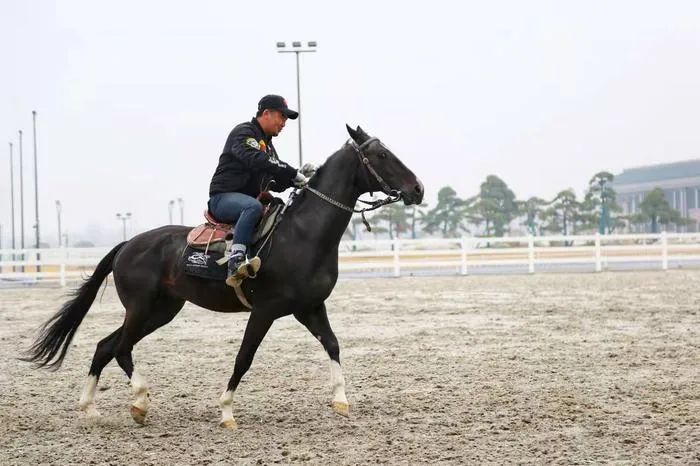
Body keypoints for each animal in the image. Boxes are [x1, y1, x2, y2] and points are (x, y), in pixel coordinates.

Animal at [24, 124, 424, 430]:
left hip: (161, 310)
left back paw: (91, 409)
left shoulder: (309, 307)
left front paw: (341, 400)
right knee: (121, 347)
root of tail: (128, 244)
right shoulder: (265, 311)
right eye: (382, 155)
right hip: (140, 308)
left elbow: (333, 345)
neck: (302, 234)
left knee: (105, 346)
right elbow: (244, 358)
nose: (417, 188)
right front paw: (226, 411)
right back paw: (138, 402)